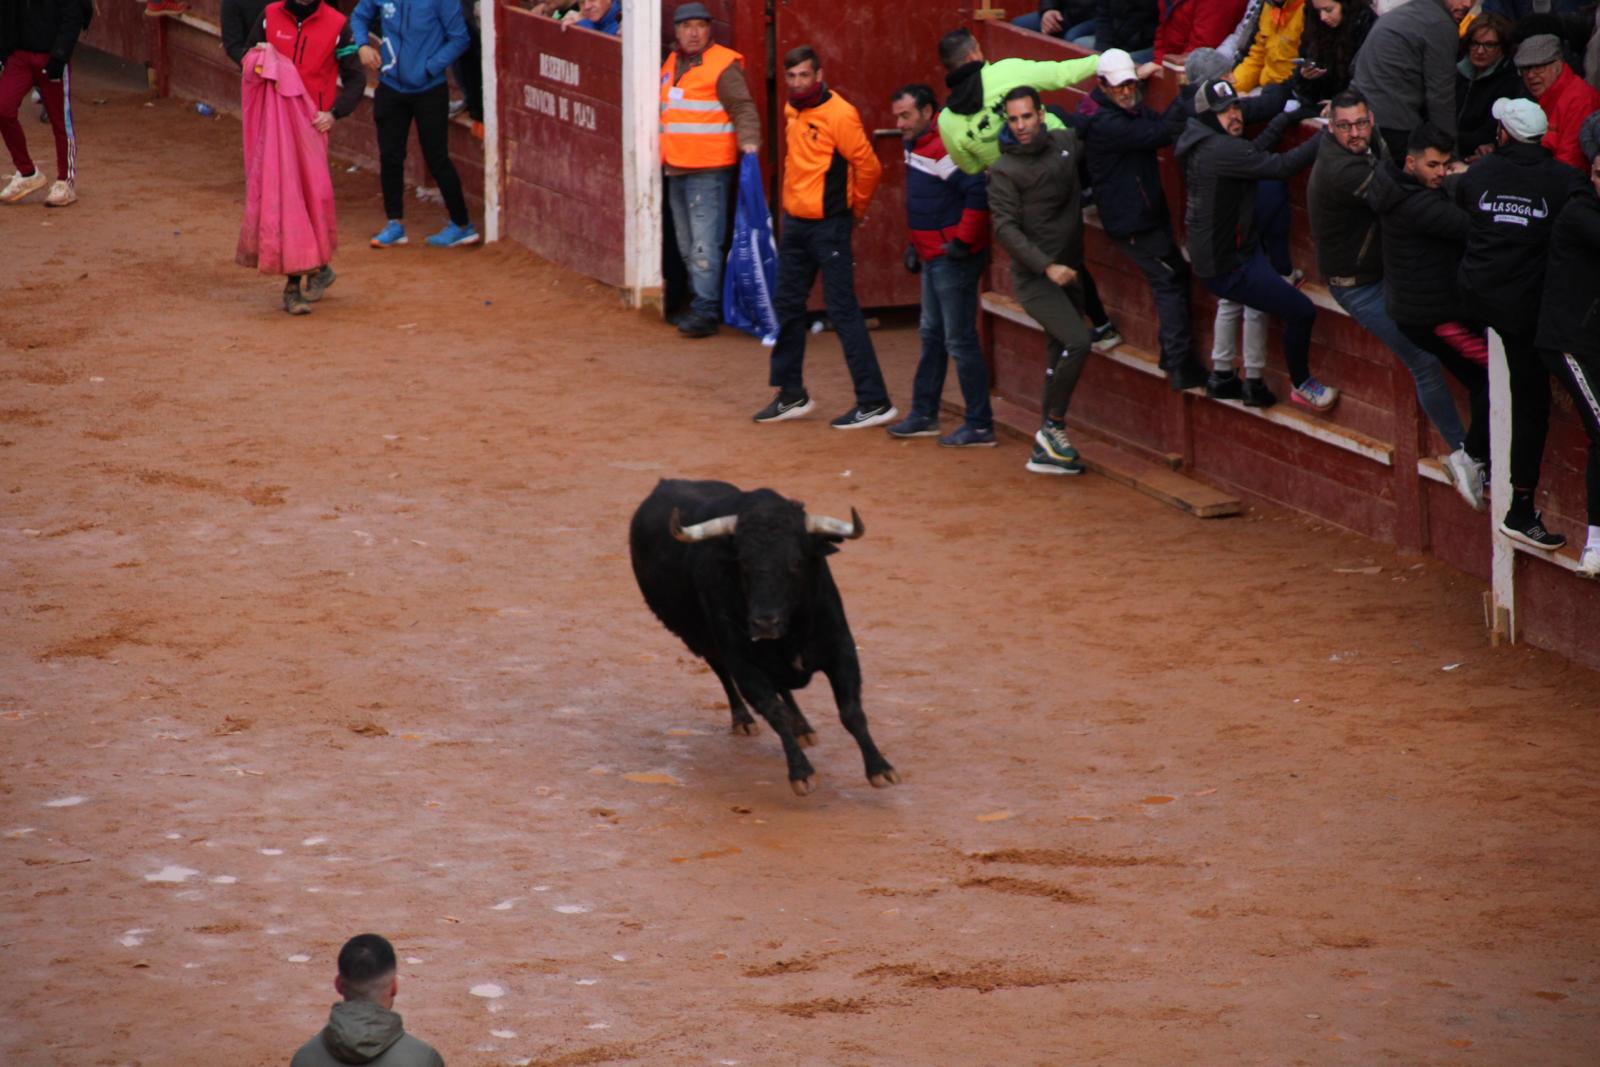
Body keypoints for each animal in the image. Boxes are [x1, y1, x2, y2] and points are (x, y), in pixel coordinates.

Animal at [624, 479, 902, 796]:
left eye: (797, 562)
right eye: (743, 563)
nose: (764, 623)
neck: (790, 635)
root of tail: (666, 483)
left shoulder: (841, 649)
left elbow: (851, 711)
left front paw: (881, 768)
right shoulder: (743, 665)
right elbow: (774, 711)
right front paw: (801, 772)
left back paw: (802, 726)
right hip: (697, 638)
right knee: (723, 673)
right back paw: (744, 719)